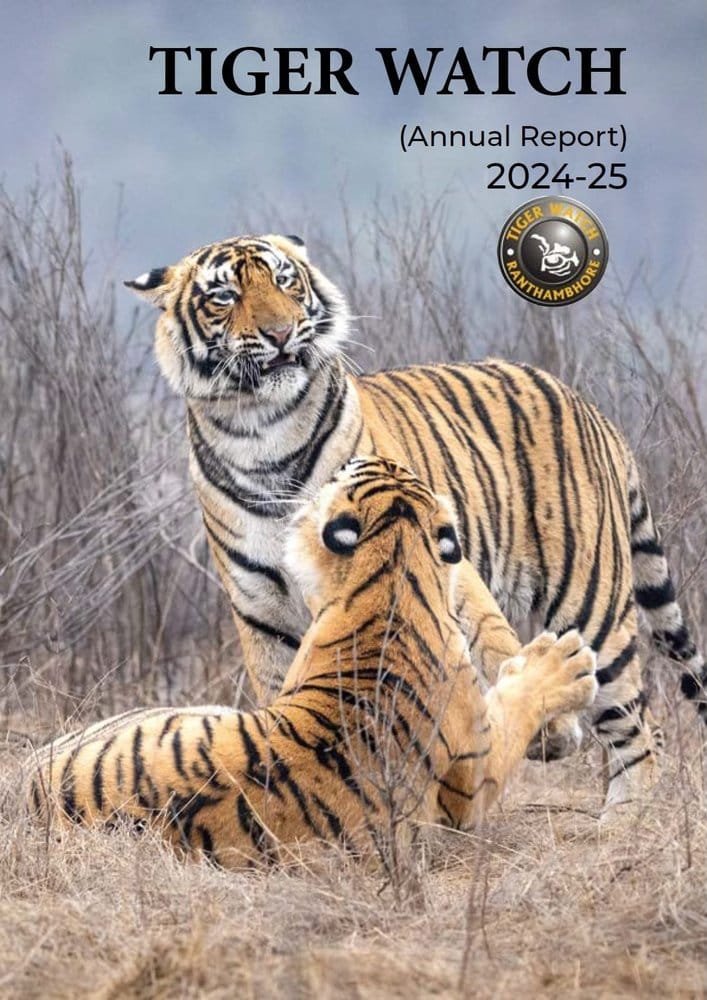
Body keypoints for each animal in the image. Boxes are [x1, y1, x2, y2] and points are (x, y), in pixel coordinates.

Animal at [28, 458, 599, 867]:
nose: (348, 460)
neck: (393, 567)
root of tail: (33, 792)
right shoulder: (472, 778)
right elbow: (514, 706)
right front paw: (563, 662)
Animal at [125, 233, 706, 814]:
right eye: (224, 296)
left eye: (285, 281)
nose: (281, 332)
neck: (261, 432)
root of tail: (589, 407)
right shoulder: (263, 607)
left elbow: (490, 637)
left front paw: (553, 729)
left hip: (591, 601)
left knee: (638, 723)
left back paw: (624, 817)